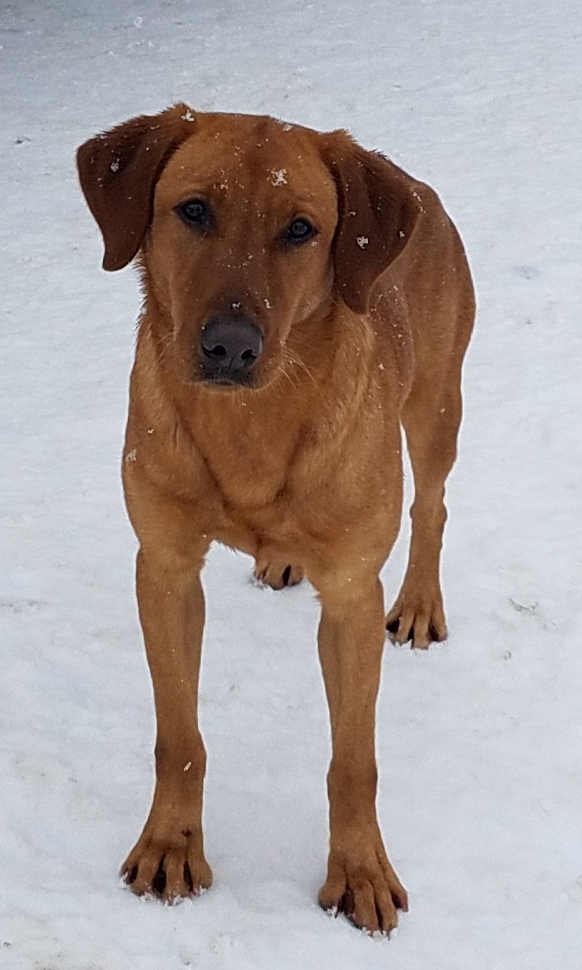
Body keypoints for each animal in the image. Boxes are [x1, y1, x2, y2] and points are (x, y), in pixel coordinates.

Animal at [77, 104, 476, 932]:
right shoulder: (164, 567)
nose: (231, 346)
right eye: (194, 210)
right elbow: (179, 735)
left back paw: (421, 602)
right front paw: (171, 846)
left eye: (301, 229)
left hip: (436, 407)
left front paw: (359, 869)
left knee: (433, 503)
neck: (251, 429)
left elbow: (354, 760)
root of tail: (415, 185)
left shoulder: (353, 595)